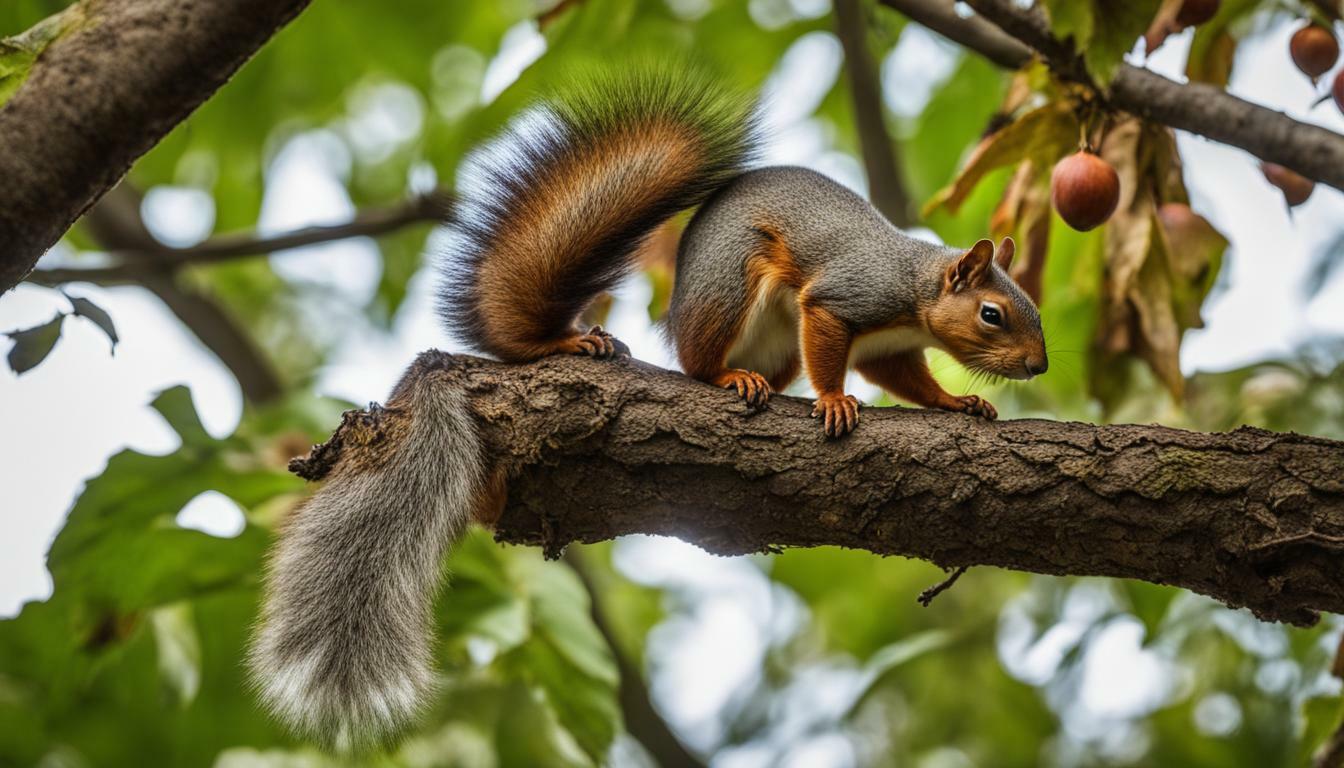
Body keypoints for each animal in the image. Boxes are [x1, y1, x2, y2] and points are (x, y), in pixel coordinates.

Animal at [249, 67, 1048, 753]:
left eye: (1030, 312)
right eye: (993, 314)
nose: (1039, 366)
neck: (915, 289)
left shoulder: (889, 344)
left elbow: (905, 378)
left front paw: (959, 399)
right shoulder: (842, 300)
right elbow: (834, 348)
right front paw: (833, 401)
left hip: (775, 342)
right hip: (735, 288)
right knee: (698, 366)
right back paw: (733, 380)